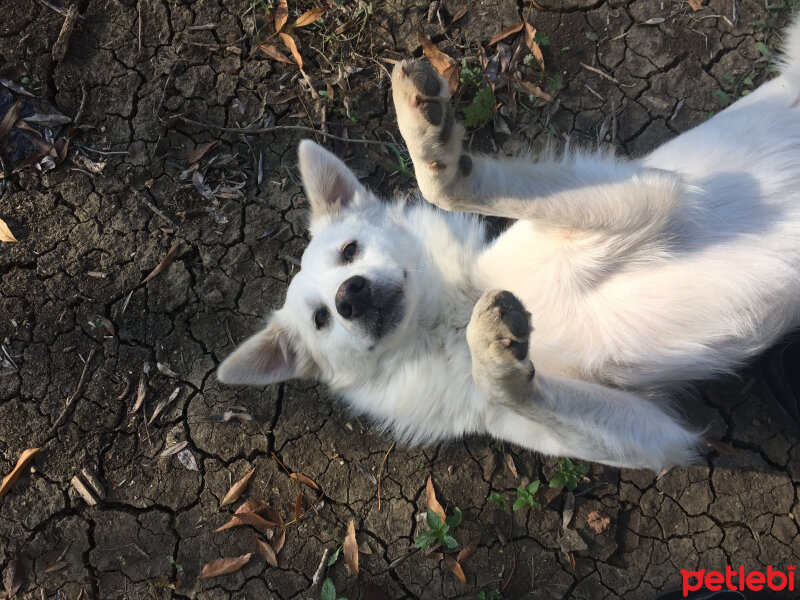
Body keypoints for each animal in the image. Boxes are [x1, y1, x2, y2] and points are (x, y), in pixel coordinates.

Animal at [216, 22, 800, 474]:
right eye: (320, 320)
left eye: (349, 251)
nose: (349, 296)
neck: (446, 318)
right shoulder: (657, 434)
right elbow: (507, 385)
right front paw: (495, 358)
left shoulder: (651, 197)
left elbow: (448, 186)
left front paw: (427, 137)